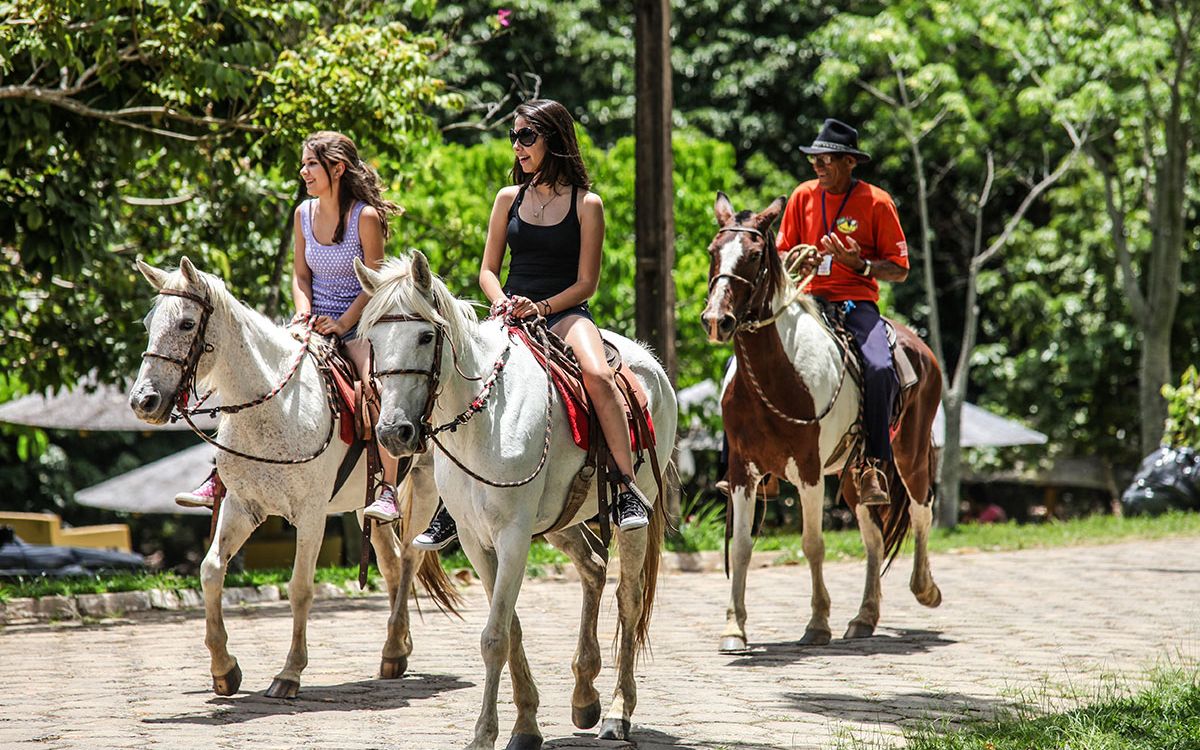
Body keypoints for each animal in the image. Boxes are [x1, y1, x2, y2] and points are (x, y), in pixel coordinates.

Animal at [126, 256, 453, 696]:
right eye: (149, 322)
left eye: (186, 324)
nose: (143, 401)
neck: (274, 406)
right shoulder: (242, 506)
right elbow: (210, 571)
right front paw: (223, 668)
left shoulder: (311, 515)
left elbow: (299, 588)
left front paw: (289, 673)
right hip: (363, 503)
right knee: (392, 562)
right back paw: (395, 649)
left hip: (425, 485)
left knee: (411, 558)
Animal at [352, 253, 676, 748]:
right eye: (372, 340)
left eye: (425, 336)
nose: (393, 432)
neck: (481, 420)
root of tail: (651, 364)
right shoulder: (475, 540)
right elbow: (511, 630)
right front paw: (525, 724)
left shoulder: (514, 536)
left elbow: (494, 638)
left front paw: (486, 733)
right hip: (562, 520)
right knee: (593, 568)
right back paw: (585, 696)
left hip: (633, 512)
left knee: (629, 597)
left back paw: (618, 713)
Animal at [700, 192, 940, 648]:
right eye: (712, 251)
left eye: (754, 255)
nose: (716, 320)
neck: (775, 375)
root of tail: (920, 347)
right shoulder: (742, 471)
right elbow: (741, 545)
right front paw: (734, 626)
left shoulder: (809, 471)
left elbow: (812, 543)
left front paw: (817, 623)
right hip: (855, 478)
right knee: (874, 537)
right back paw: (864, 617)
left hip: (909, 454)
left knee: (922, 510)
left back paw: (925, 589)